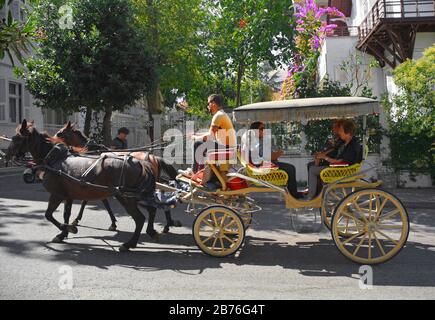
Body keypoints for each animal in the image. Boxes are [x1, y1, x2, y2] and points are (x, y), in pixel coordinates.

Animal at [6, 120, 169, 252]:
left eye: (16, 138)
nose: (6, 155)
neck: (54, 158)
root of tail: (142, 163)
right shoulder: (69, 195)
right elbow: (66, 214)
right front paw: (64, 232)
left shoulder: (57, 194)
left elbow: (49, 215)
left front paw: (69, 228)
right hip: (135, 196)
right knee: (152, 210)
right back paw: (153, 231)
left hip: (126, 197)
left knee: (140, 218)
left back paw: (130, 244)